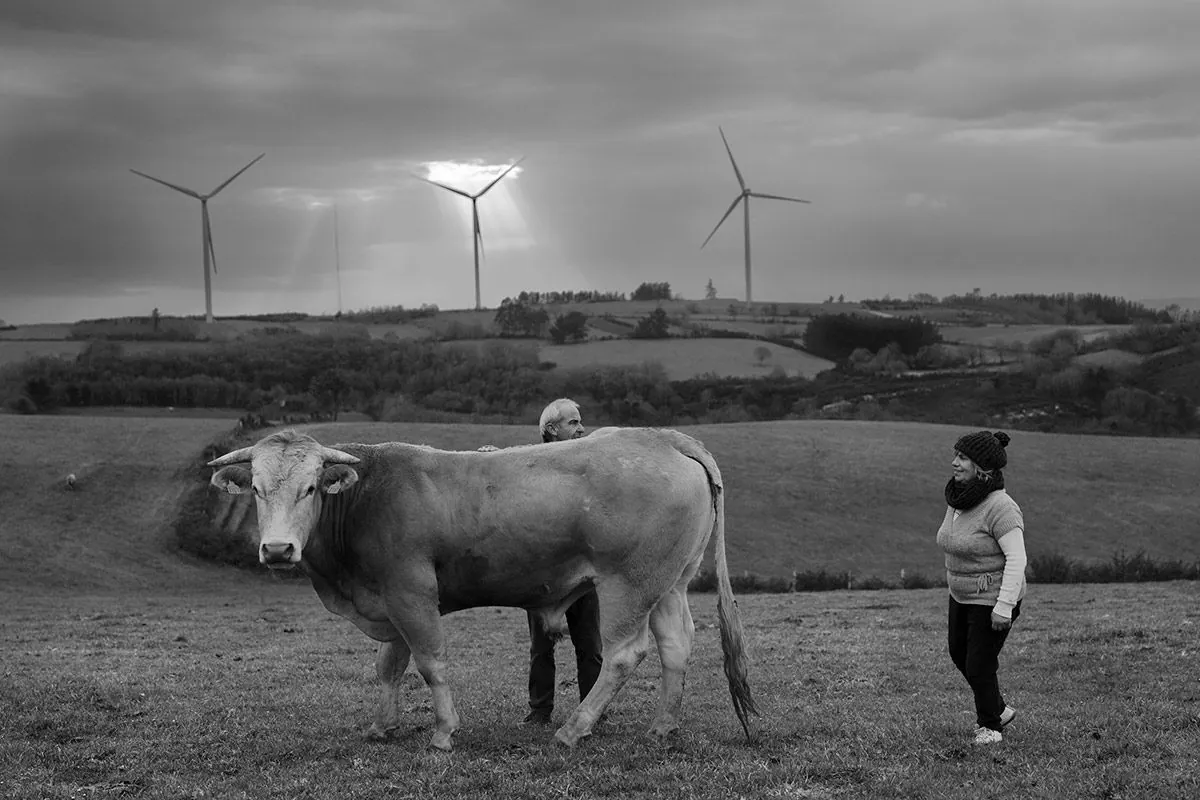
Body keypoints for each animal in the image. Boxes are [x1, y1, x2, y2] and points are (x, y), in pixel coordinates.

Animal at [205, 431, 748, 753]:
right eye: (256, 489)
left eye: (311, 488)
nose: (278, 549)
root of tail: (661, 437)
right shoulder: (387, 600)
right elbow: (389, 667)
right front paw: (382, 726)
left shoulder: (411, 592)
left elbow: (430, 664)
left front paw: (444, 732)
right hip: (669, 582)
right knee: (676, 645)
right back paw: (663, 726)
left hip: (628, 584)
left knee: (623, 654)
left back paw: (573, 729)